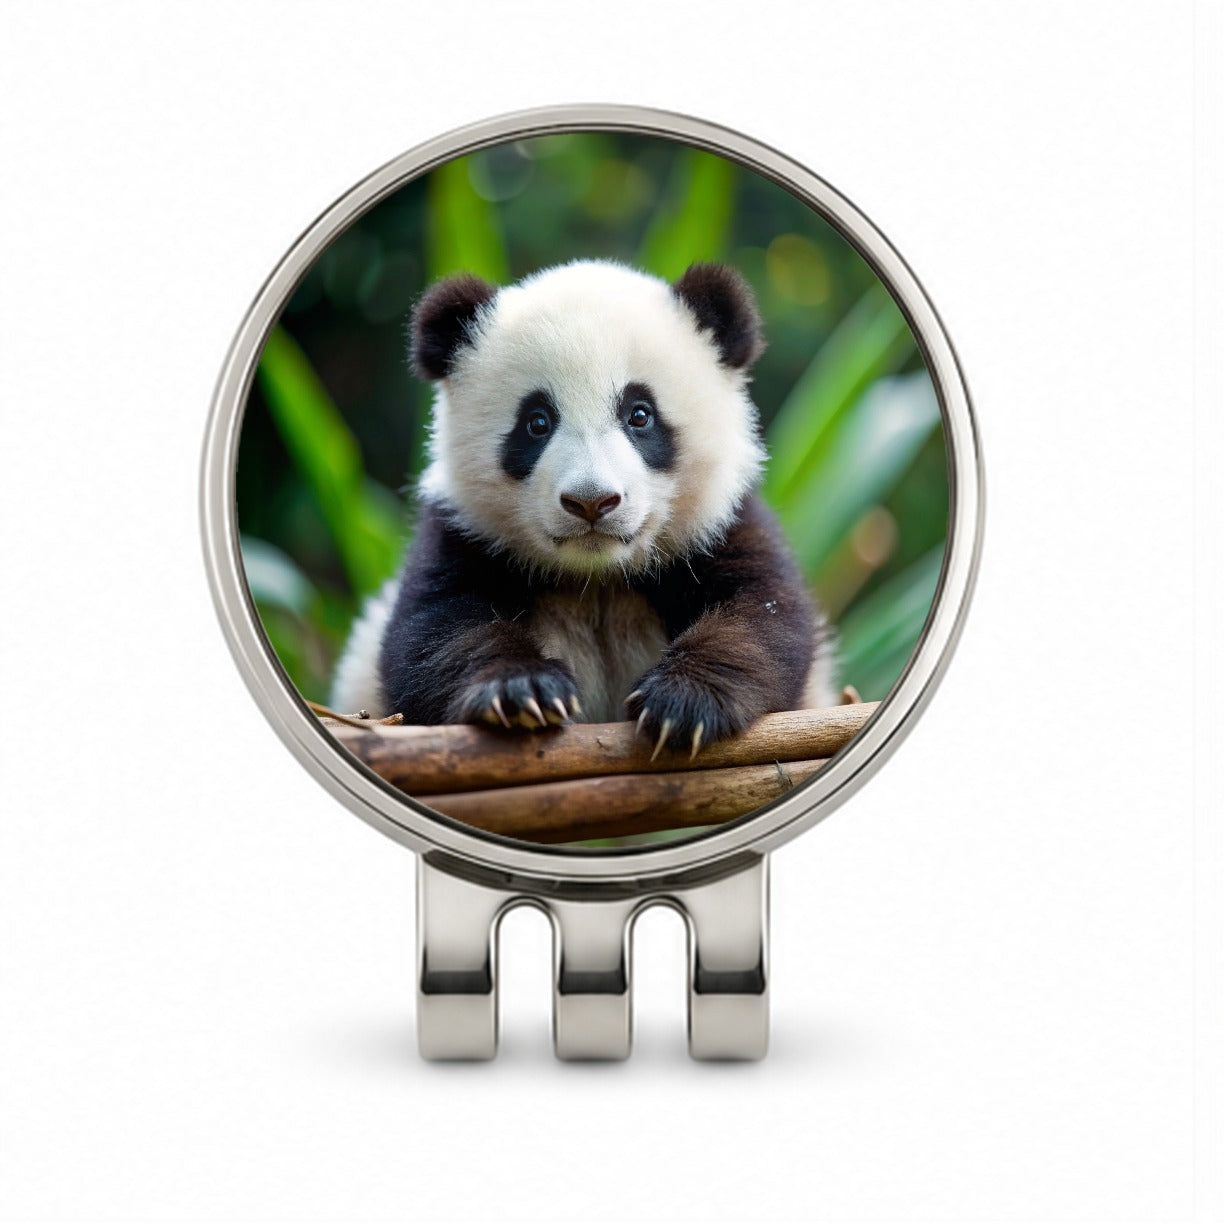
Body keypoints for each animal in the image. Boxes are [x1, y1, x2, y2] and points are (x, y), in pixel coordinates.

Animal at [330, 259, 836, 759]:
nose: (591, 501)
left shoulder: (720, 524)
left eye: (640, 414)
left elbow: (762, 618)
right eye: (536, 422)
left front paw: (684, 702)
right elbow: (435, 636)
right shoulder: (465, 535)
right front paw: (523, 692)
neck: (597, 579)